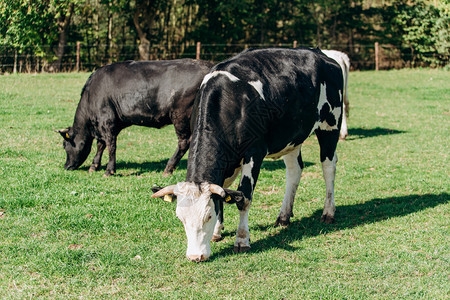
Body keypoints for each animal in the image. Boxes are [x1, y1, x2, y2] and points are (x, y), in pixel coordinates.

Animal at [56, 58, 214, 176]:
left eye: (65, 145)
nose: (66, 166)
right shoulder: (104, 124)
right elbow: (101, 145)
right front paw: (94, 166)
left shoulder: (107, 121)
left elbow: (111, 145)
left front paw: (109, 170)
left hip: (180, 116)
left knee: (184, 142)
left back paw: (168, 168)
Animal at [150, 48, 342, 262]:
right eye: (180, 218)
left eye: (208, 216)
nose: (195, 256)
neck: (229, 101)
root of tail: (320, 53)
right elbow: (223, 193)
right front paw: (217, 232)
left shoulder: (254, 153)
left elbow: (244, 197)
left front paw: (242, 240)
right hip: (292, 137)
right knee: (294, 171)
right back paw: (284, 216)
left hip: (330, 124)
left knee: (328, 166)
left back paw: (328, 212)